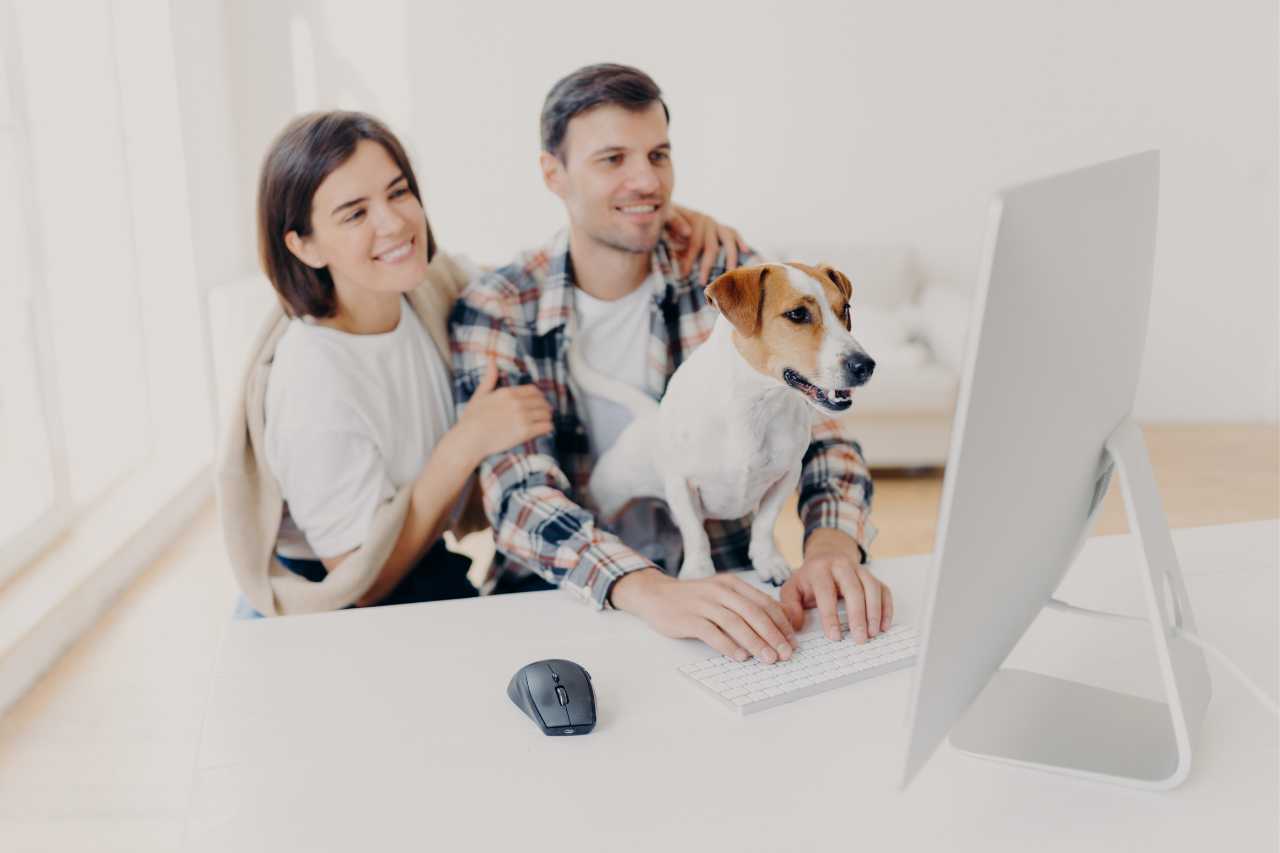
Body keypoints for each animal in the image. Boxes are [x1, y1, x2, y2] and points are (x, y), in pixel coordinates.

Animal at [576, 262, 875, 581]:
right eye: (797, 314)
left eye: (845, 309)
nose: (866, 365)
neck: (754, 406)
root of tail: (648, 415)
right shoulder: (681, 483)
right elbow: (696, 533)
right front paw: (699, 572)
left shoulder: (787, 475)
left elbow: (764, 522)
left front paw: (768, 561)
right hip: (609, 500)